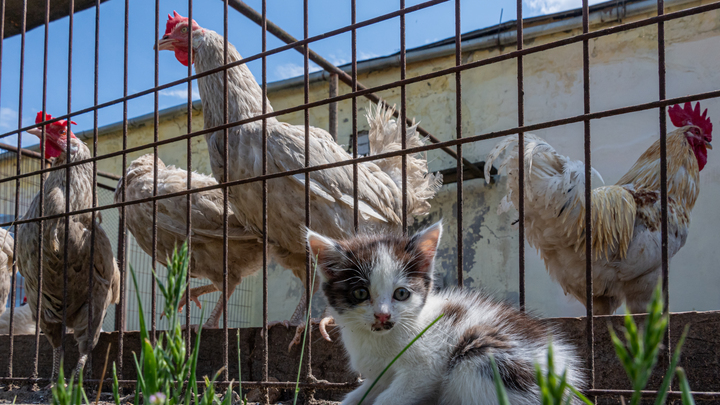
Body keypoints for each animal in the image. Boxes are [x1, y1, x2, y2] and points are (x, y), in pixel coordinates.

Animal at [306, 221, 584, 404]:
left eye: (401, 293)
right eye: (361, 293)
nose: (382, 315)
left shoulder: (425, 369)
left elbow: (392, 397)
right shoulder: (379, 374)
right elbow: (365, 392)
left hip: (480, 357)